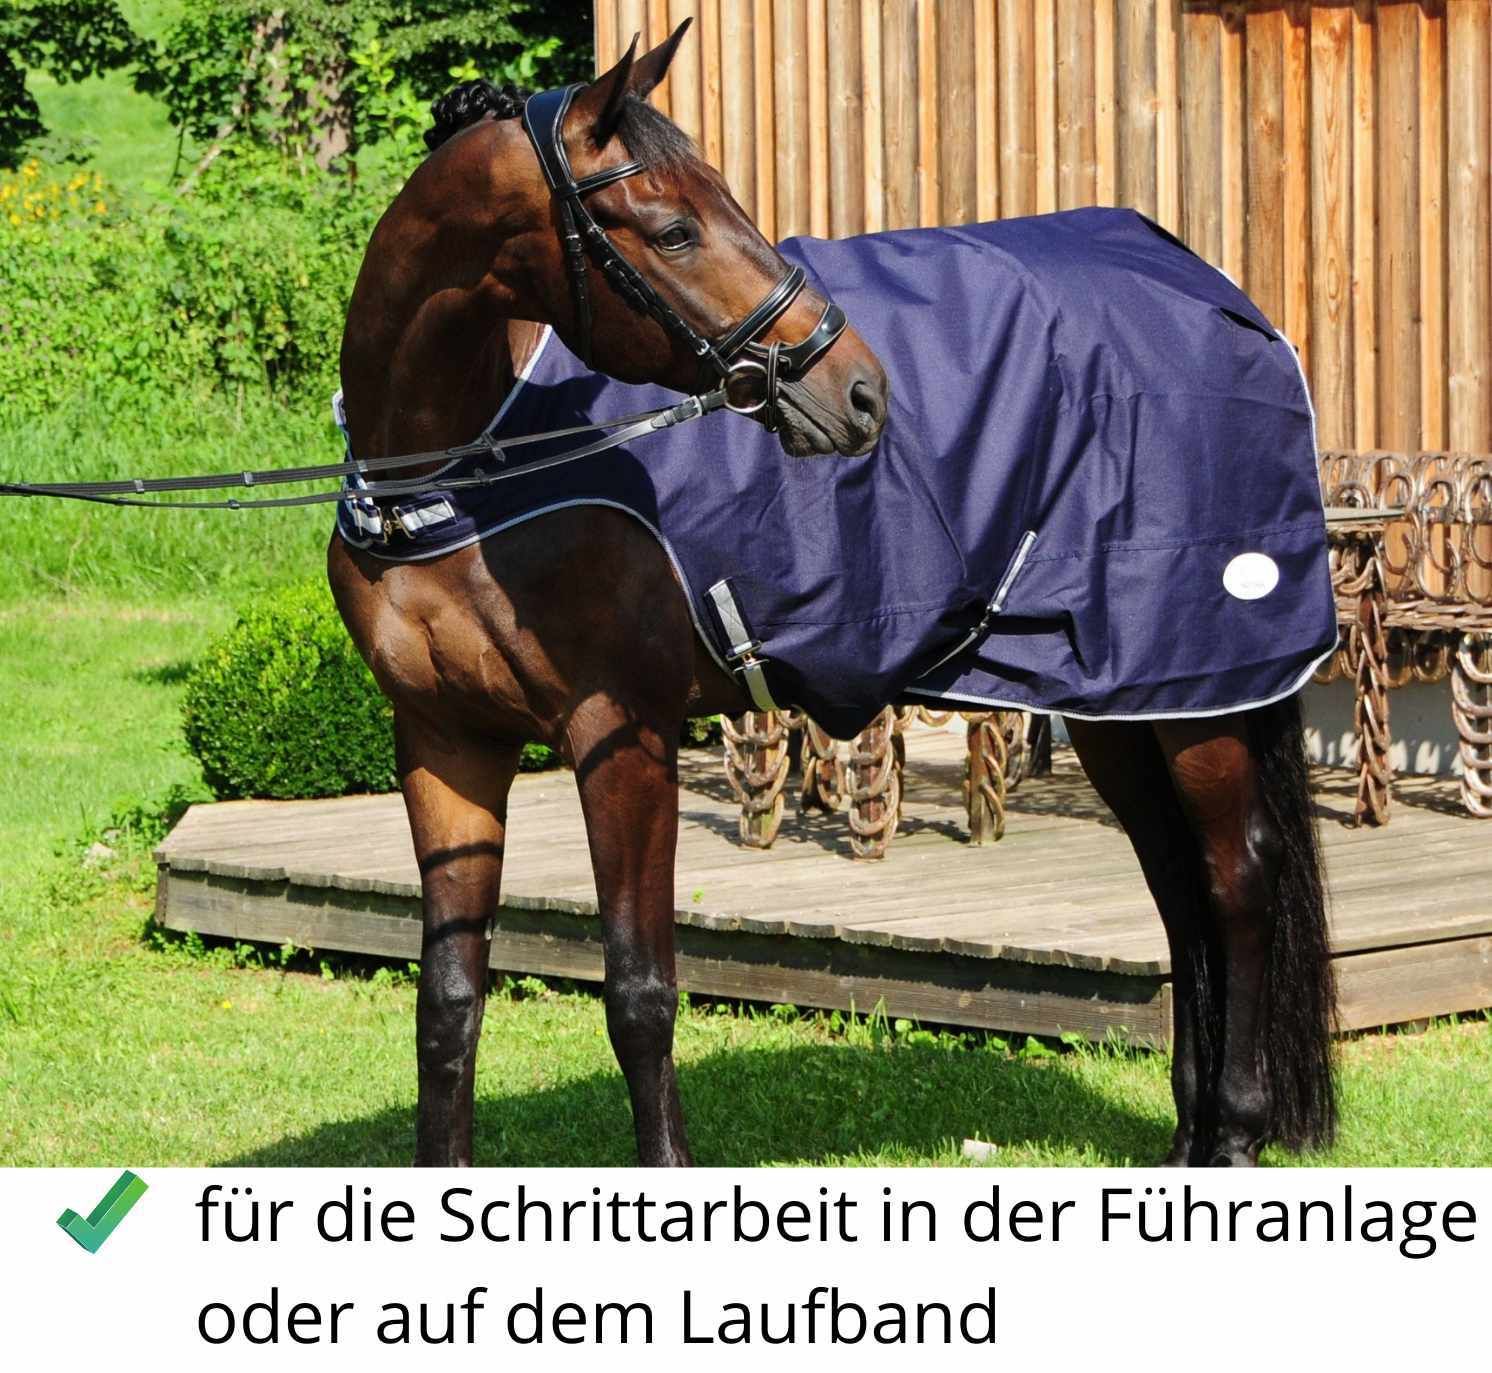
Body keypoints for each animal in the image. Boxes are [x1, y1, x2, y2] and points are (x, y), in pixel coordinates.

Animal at [330, 23, 1336, 1169]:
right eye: (675, 228)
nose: (858, 388)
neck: (466, 477)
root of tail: (1224, 302)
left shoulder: (620, 736)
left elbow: (640, 993)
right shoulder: (445, 743)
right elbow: (448, 999)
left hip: (1198, 697)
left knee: (1235, 880)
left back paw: (1235, 1135)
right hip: (1119, 704)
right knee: (1176, 884)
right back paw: (1188, 1139)